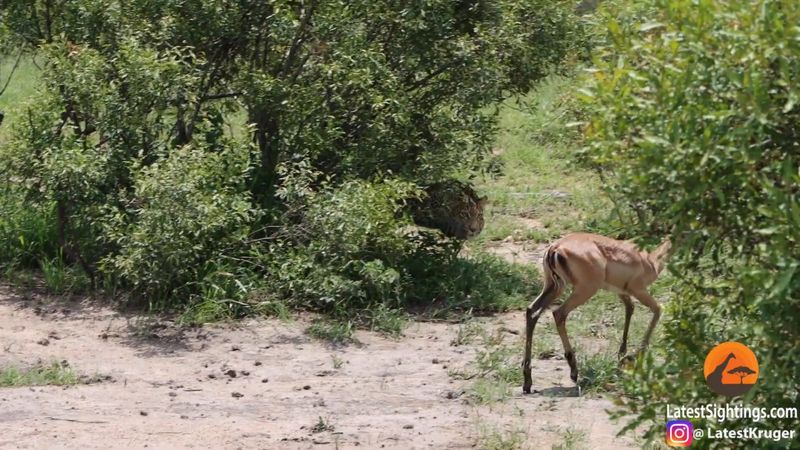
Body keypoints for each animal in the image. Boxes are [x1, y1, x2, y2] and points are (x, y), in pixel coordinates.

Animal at [522, 232, 672, 394]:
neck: (651, 261)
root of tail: (555, 248)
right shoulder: (639, 290)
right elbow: (658, 309)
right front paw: (636, 357)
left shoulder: (622, 293)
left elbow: (630, 309)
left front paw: (622, 356)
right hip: (585, 289)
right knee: (558, 313)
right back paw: (573, 371)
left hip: (555, 287)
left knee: (531, 312)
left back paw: (527, 381)